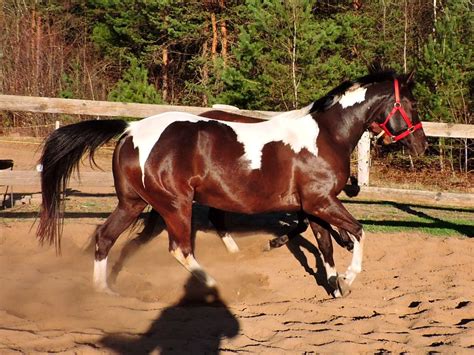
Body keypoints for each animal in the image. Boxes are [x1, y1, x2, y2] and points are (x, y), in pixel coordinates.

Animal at [37, 69, 428, 298]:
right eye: (411, 102)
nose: (421, 144)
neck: (326, 135)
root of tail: (130, 130)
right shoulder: (321, 201)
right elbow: (357, 232)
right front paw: (348, 278)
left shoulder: (314, 204)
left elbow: (326, 245)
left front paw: (333, 287)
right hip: (175, 204)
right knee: (180, 248)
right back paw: (214, 284)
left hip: (133, 203)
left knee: (105, 237)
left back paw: (105, 292)